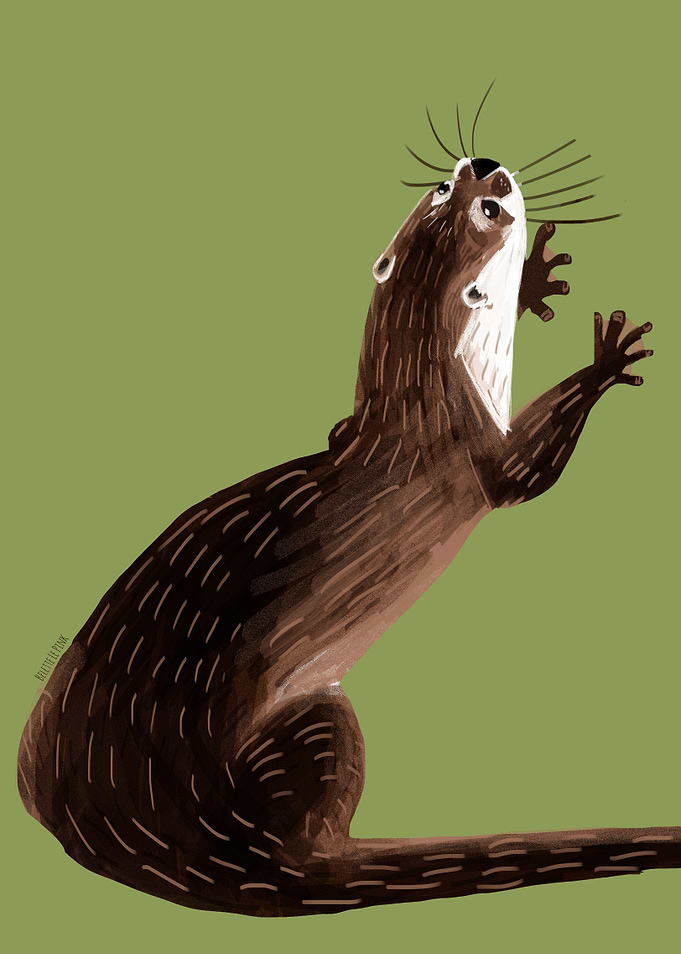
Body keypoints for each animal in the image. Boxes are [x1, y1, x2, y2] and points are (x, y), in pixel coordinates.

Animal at [17, 138, 679, 916]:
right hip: (320, 724)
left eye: (447, 187)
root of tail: (194, 854)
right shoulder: (470, 455)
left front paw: (539, 277)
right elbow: (526, 476)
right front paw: (606, 356)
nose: (483, 167)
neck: (418, 393)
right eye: (483, 209)